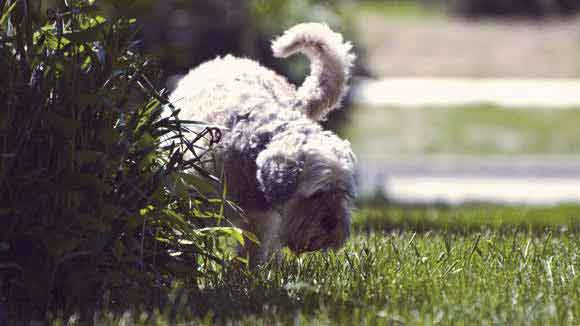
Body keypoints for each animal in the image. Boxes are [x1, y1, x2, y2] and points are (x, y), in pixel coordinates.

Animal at [170, 22, 356, 264]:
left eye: (342, 192)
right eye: (316, 193)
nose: (333, 226)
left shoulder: (260, 220)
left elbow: (252, 250)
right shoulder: (192, 201)